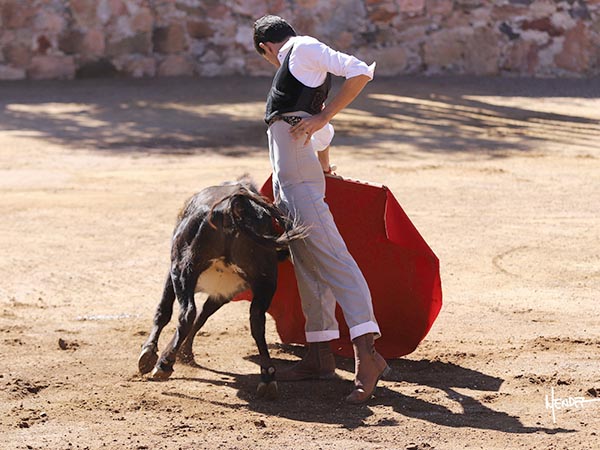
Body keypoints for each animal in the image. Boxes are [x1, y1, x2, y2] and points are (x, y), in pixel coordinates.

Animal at [136, 179, 304, 398]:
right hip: (265, 280)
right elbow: (202, 317)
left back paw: (164, 364)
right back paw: (267, 377)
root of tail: (233, 207)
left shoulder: (173, 274)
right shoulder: (223, 293)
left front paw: (150, 353)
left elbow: (164, 312)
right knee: (256, 321)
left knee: (187, 314)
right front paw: (184, 353)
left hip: (182, 269)